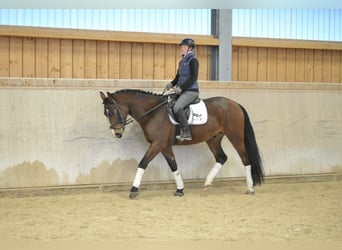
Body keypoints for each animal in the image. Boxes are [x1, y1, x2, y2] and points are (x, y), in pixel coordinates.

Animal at [99, 89, 264, 198]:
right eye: (105, 114)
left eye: (112, 112)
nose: (117, 133)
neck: (153, 112)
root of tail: (235, 104)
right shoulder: (165, 146)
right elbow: (174, 166)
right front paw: (180, 190)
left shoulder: (157, 144)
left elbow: (143, 163)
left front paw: (133, 190)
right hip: (213, 139)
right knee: (221, 157)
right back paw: (207, 182)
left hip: (235, 137)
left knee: (245, 159)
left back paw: (250, 189)